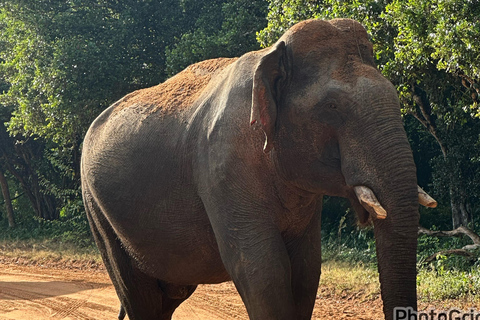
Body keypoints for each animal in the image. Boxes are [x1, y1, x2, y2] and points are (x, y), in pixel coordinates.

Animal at [80, 18, 436, 320]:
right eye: (331, 107)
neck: (271, 53)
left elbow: (306, 269)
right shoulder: (223, 167)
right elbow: (263, 269)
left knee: (166, 299)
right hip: (97, 211)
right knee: (138, 295)